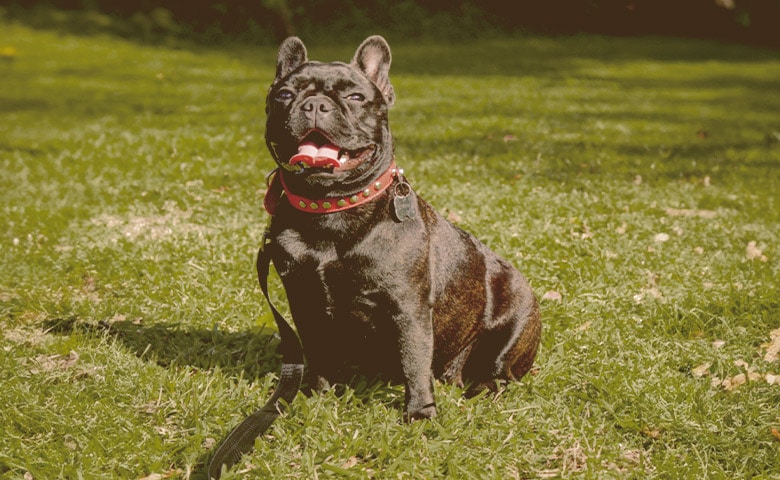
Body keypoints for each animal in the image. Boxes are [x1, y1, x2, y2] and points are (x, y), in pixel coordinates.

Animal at [266, 35, 540, 418]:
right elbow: (317, 352)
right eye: (285, 94)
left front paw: (420, 414)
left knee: (499, 372)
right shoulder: (304, 301)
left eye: (355, 97)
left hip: (515, 321)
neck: (331, 207)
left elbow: (414, 360)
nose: (316, 104)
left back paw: (481, 389)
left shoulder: (407, 308)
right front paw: (315, 395)